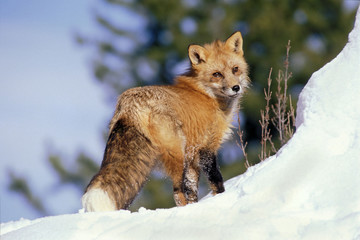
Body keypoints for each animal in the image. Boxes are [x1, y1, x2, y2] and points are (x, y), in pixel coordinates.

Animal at [82, 31, 249, 212]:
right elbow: (216, 180)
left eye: (235, 69)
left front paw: (196, 207)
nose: (235, 88)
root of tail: (128, 104)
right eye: (217, 74)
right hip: (177, 155)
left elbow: (192, 191)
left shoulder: (192, 157)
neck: (207, 94)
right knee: (177, 192)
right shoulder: (206, 147)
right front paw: (220, 198)